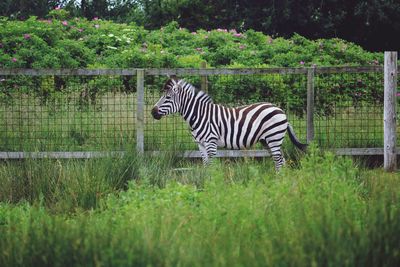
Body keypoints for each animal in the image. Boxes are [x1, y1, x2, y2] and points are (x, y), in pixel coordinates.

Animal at [152, 77, 308, 172]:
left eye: (167, 98)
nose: (153, 112)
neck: (199, 115)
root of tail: (281, 110)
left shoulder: (211, 142)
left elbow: (211, 165)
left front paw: (212, 185)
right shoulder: (200, 144)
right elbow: (205, 165)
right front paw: (205, 183)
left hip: (274, 137)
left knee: (279, 160)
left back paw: (278, 183)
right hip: (267, 141)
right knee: (280, 160)